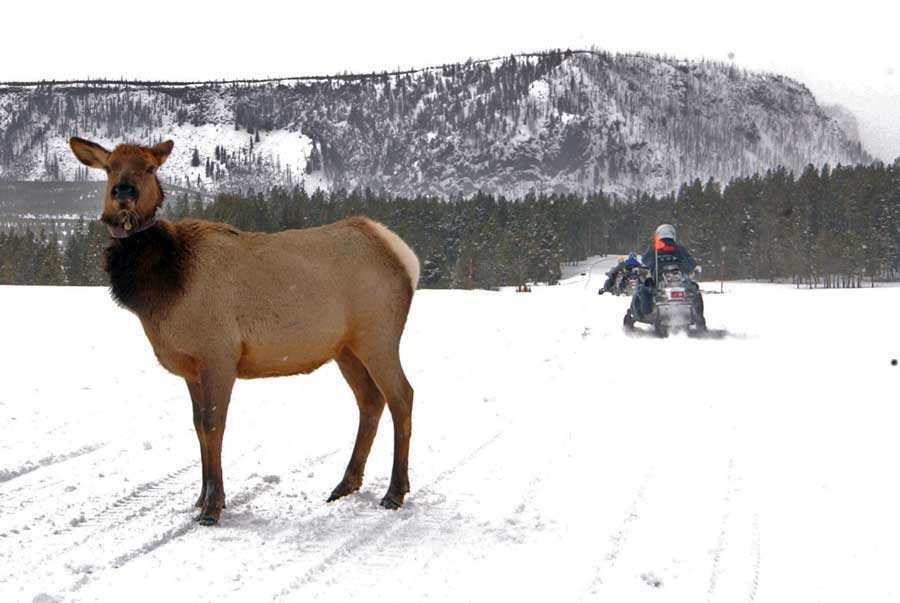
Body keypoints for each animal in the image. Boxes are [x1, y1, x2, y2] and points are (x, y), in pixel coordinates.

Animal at [69, 137, 418, 524]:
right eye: (110, 167)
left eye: (149, 167)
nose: (123, 192)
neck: (162, 293)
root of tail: (405, 256)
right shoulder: (191, 367)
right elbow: (198, 426)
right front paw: (200, 498)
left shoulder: (219, 353)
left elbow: (213, 425)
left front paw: (213, 507)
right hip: (345, 348)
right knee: (370, 401)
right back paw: (346, 484)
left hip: (379, 335)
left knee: (402, 396)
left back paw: (394, 491)